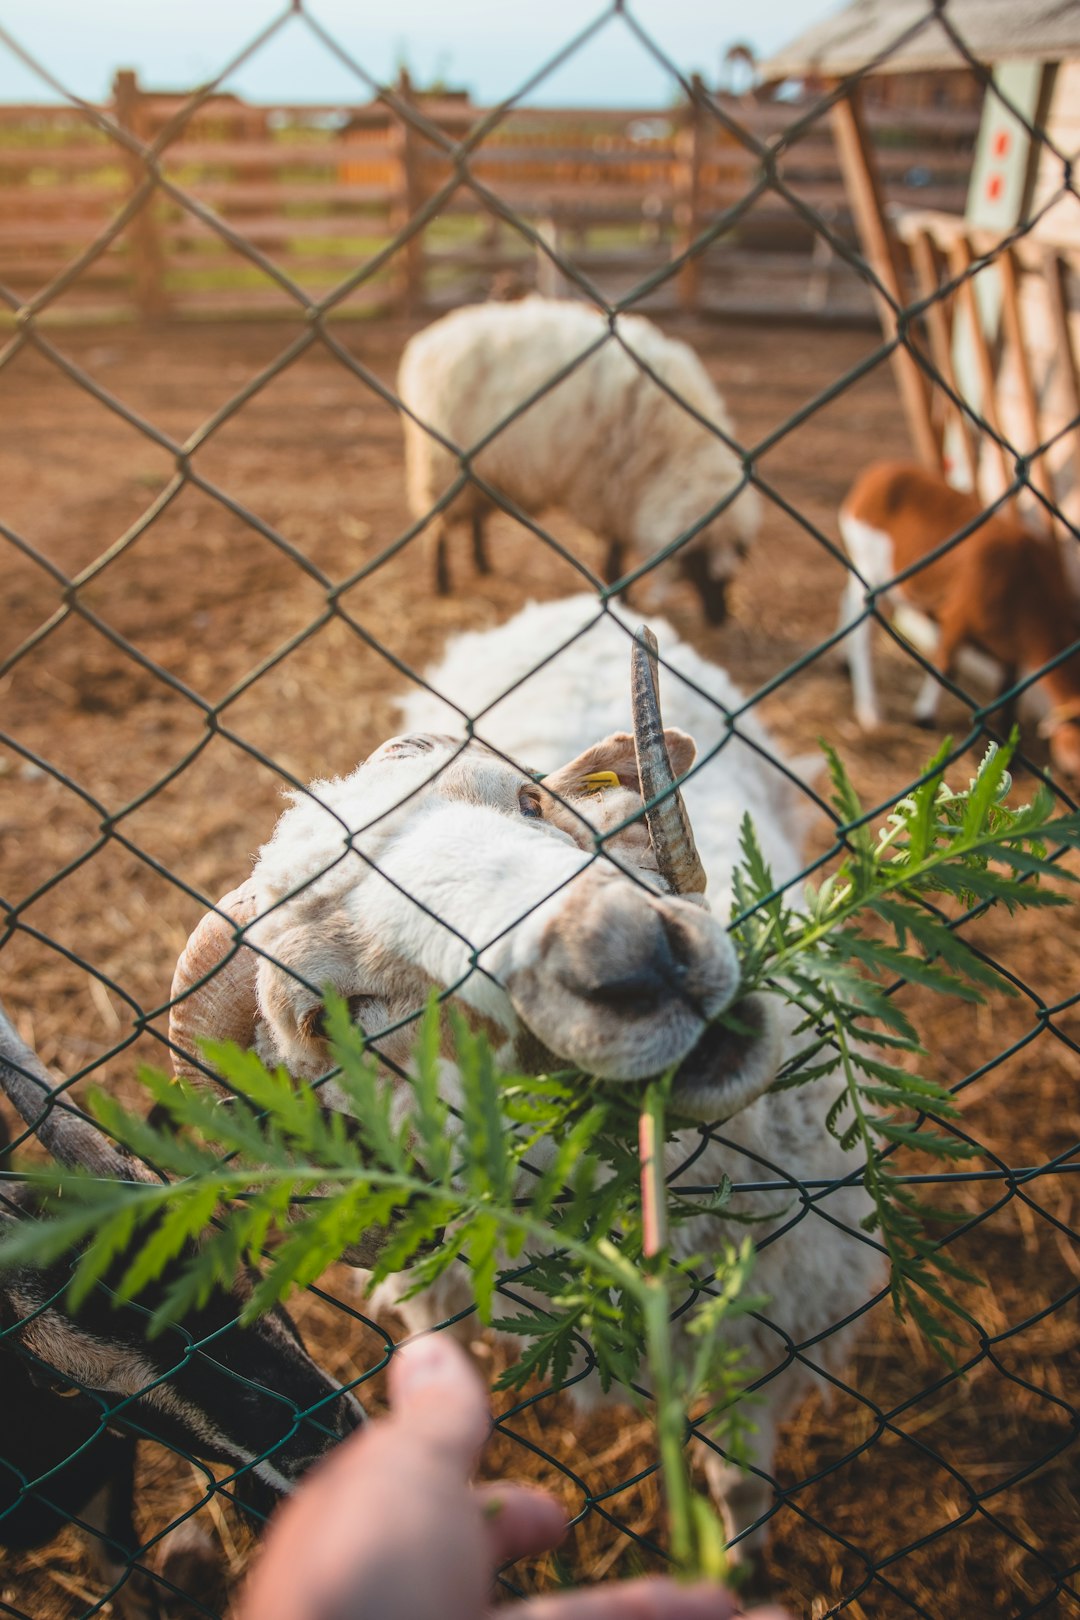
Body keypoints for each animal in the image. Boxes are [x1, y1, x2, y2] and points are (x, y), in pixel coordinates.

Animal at [173, 599, 887, 1568]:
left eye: (528, 799)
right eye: (328, 1016)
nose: (632, 953)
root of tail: (565, 605)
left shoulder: (771, 1323)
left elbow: (740, 1480)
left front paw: (741, 1569)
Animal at [396, 294, 761, 622]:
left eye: (735, 563)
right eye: (698, 564)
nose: (719, 618)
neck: (672, 454)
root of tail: (426, 342)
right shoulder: (609, 492)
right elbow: (613, 553)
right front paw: (621, 597)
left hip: (479, 470)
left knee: (475, 515)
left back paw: (482, 562)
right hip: (442, 464)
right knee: (439, 528)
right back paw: (442, 581)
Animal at [841, 460, 1080, 780]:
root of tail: (875, 474)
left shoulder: (1011, 652)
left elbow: (1009, 694)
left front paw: (1010, 754)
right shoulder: (958, 616)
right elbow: (946, 665)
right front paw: (924, 716)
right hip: (868, 567)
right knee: (862, 628)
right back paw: (870, 712)